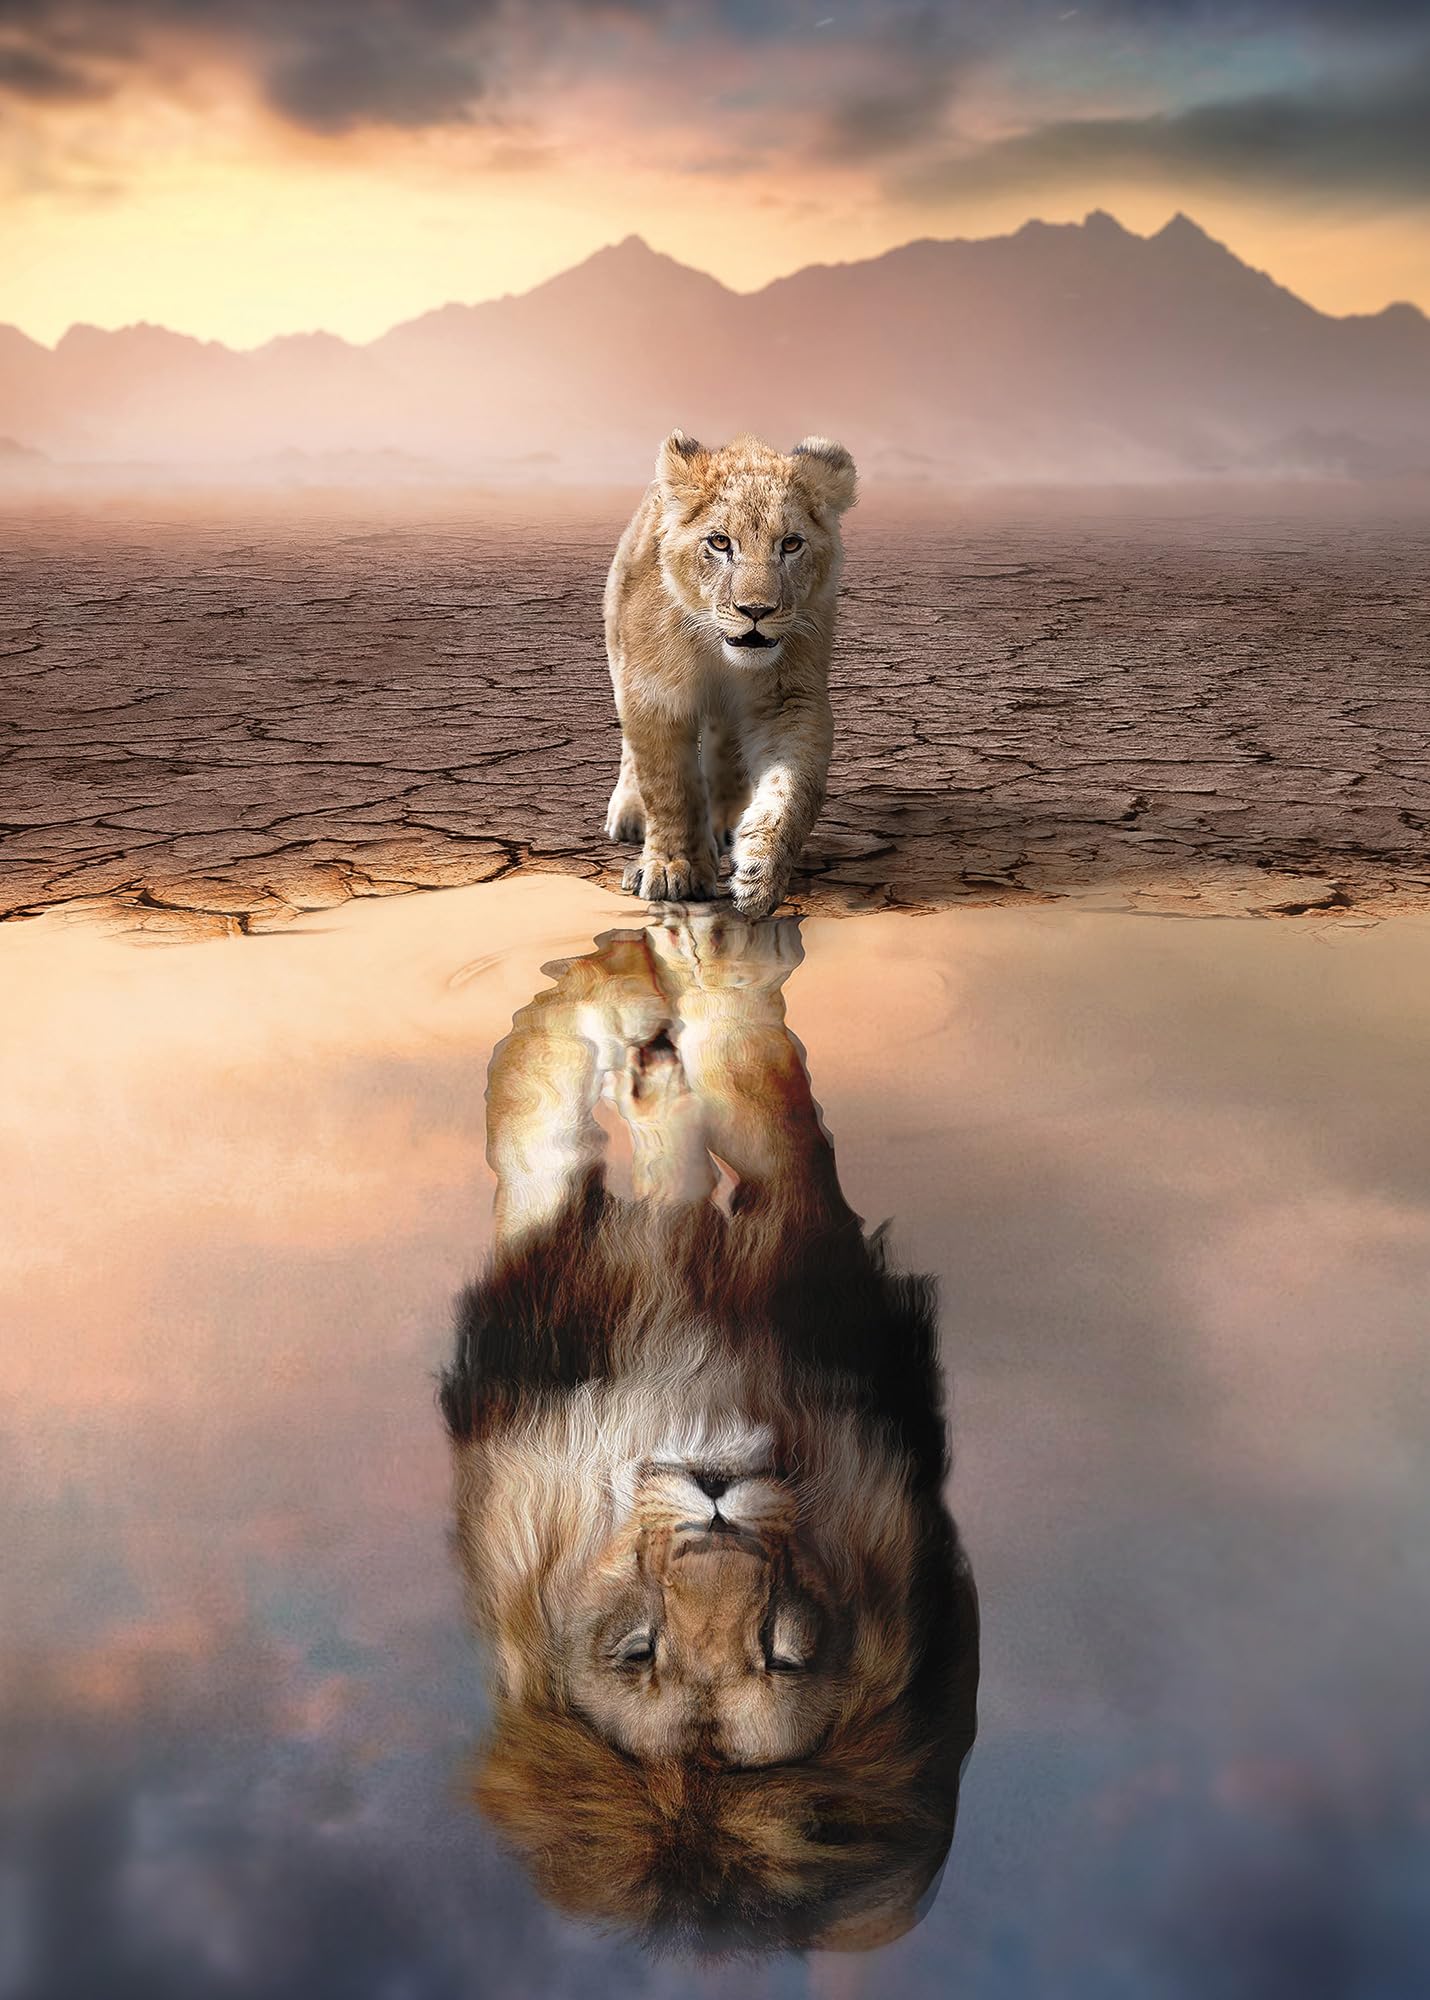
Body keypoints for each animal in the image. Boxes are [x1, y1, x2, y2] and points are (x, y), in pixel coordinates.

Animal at [441, 915, 977, 1955]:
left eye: (784, 1651)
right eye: (639, 1650)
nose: (716, 1508)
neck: (695, 1389)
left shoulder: (814, 1257)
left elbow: (757, 1082)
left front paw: (712, 975)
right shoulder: (547, 1300)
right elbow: (533, 1116)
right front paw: (603, 993)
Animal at [602, 432, 858, 919]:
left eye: (791, 544)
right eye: (720, 542)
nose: (755, 611)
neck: (719, 653)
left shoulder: (788, 699)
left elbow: (791, 791)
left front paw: (760, 875)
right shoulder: (655, 692)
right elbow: (669, 785)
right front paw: (673, 869)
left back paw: (727, 821)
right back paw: (629, 813)